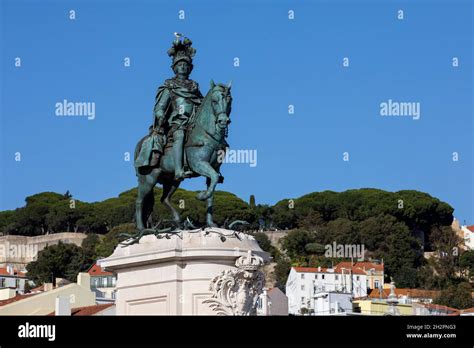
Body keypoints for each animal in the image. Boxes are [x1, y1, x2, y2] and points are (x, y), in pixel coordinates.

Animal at [133, 80, 231, 230]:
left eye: (229, 100)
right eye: (214, 101)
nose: (223, 121)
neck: (206, 134)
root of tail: (138, 146)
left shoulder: (213, 168)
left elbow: (212, 191)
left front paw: (210, 223)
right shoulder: (199, 164)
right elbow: (213, 179)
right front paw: (200, 196)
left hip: (172, 180)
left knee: (165, 199)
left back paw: (177, 221)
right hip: (148, 179)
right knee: (139, 201)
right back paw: (142, 229)